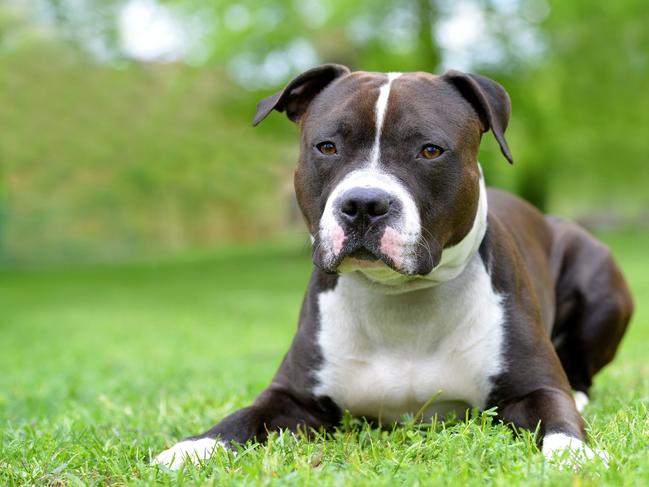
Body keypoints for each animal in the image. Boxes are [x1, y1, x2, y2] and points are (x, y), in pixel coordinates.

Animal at [156, 63, 632, 468]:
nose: (364, 204)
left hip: (599, 275)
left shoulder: (535, 389)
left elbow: (557, 421)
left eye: (430, 150)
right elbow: (243, 417)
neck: (399, 300)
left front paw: (577, 457)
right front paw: (191, 448)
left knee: (581, 374)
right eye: (327, 146)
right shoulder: (292, 398)